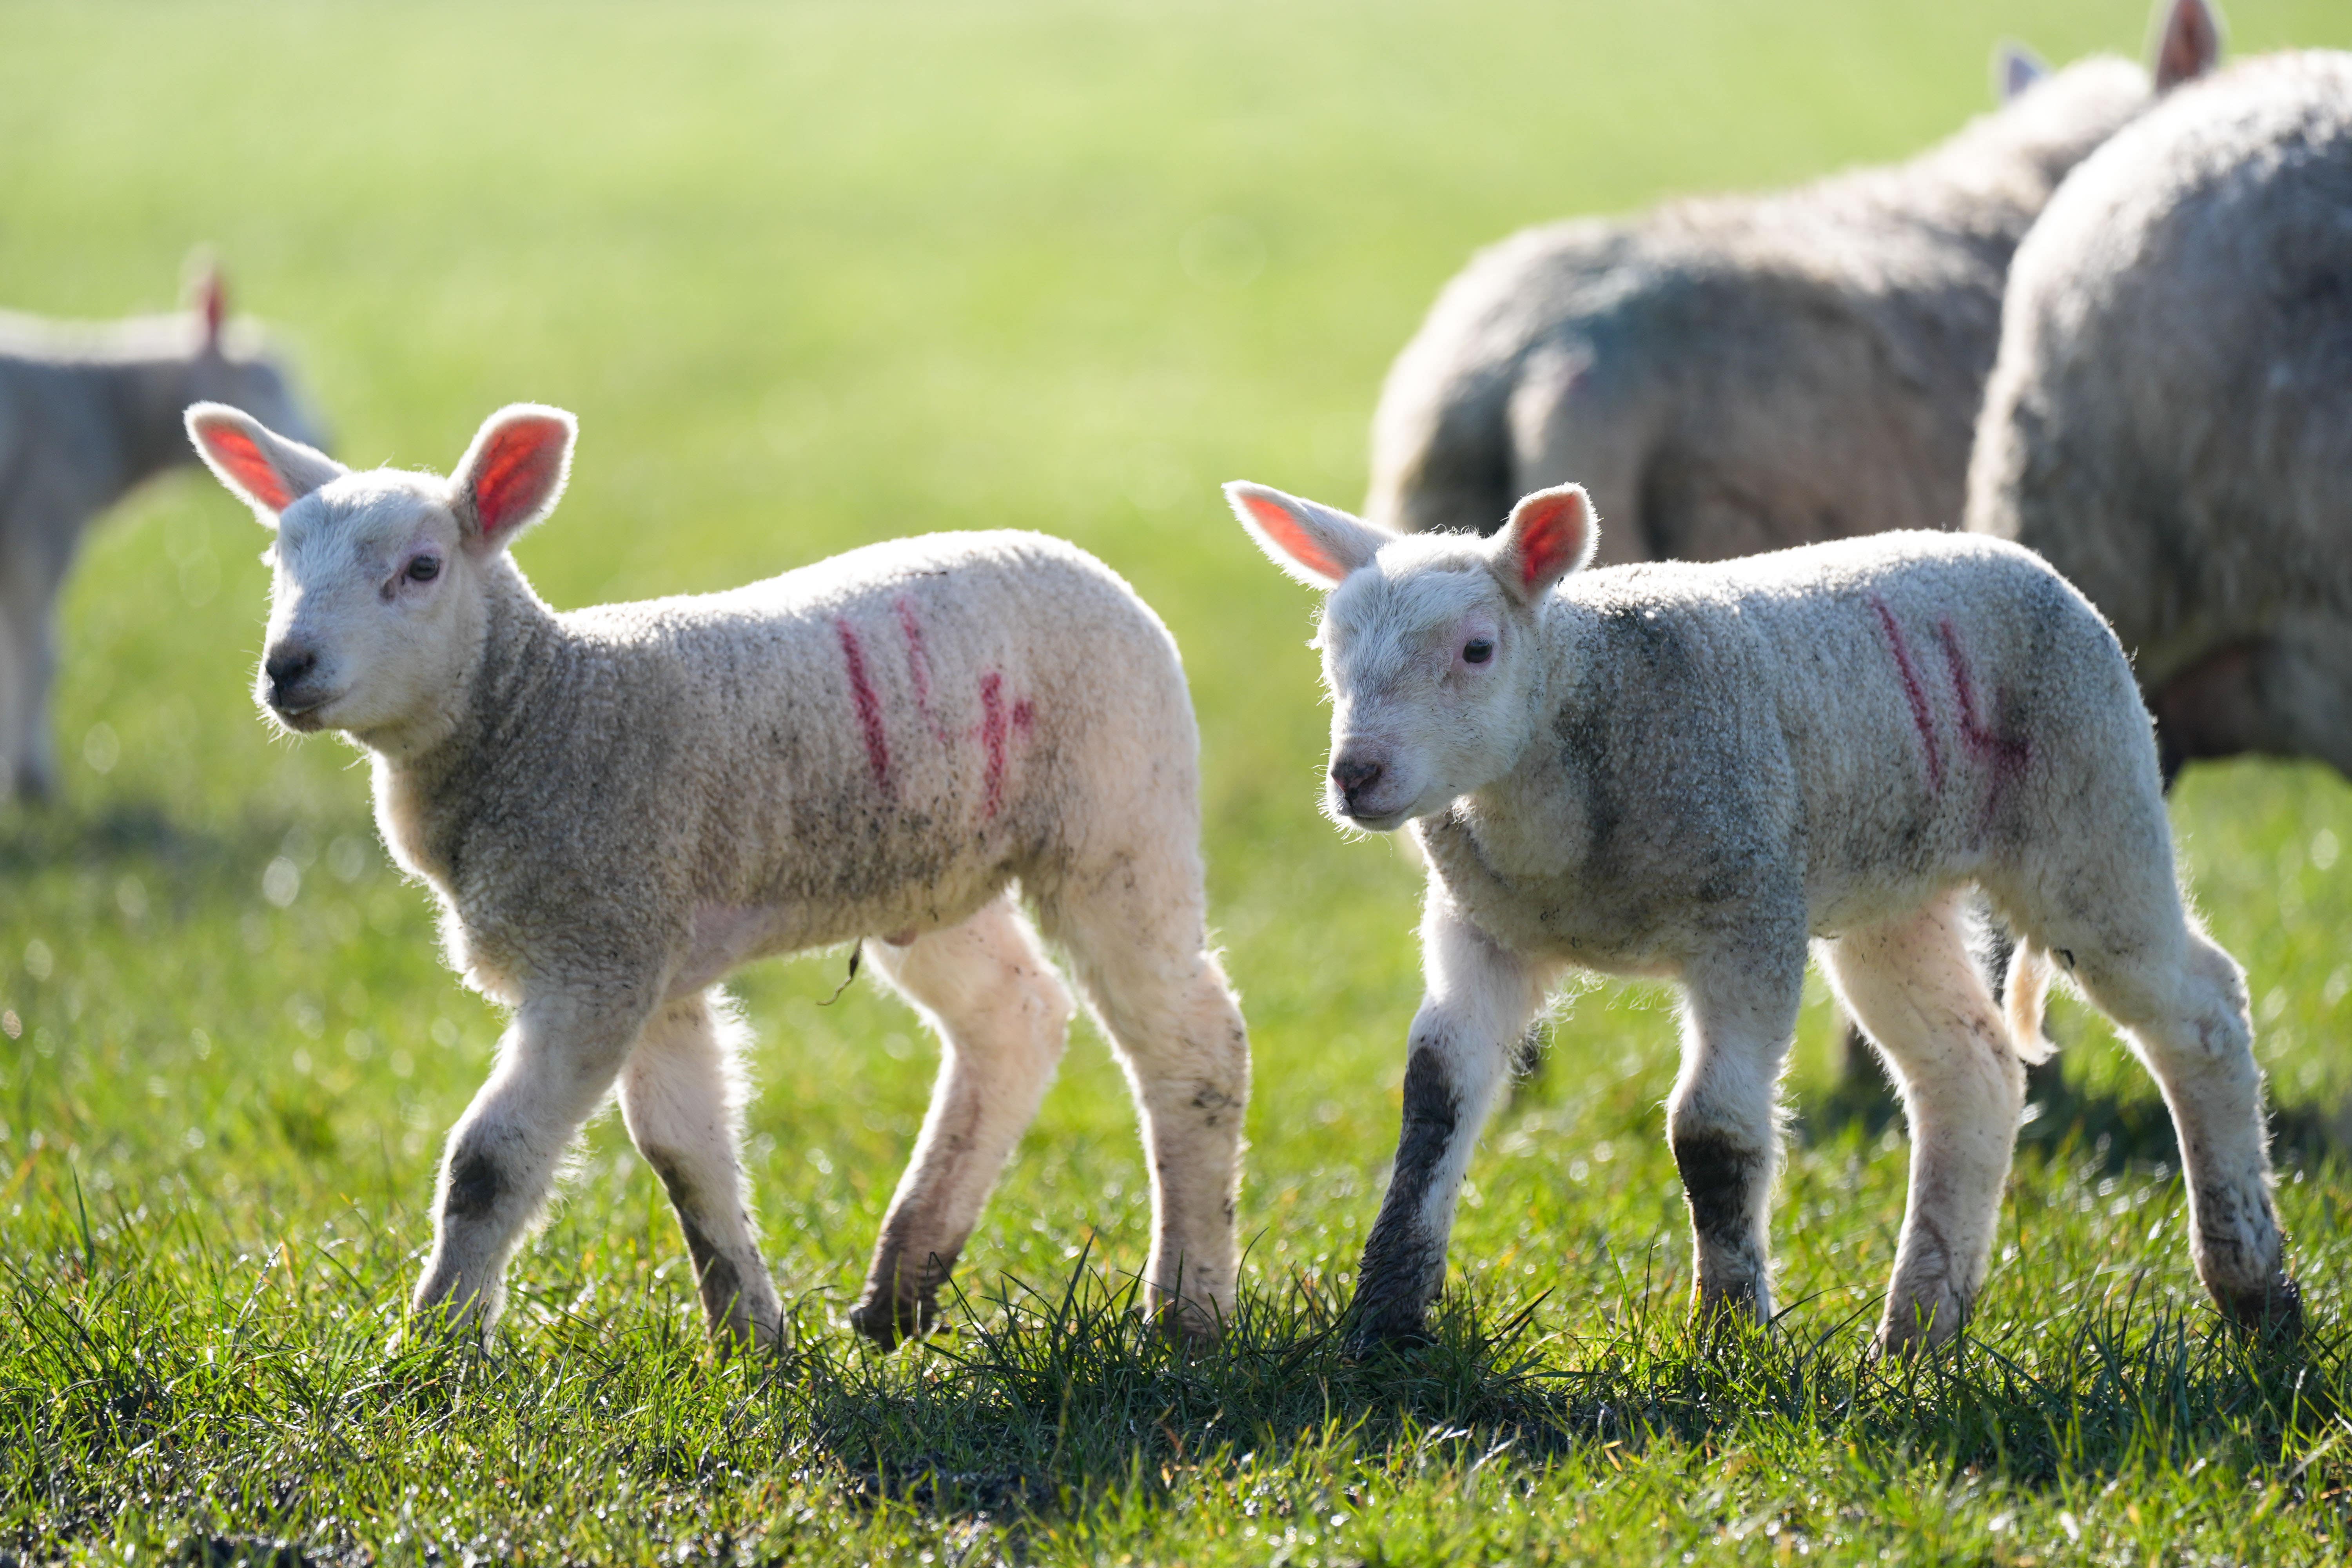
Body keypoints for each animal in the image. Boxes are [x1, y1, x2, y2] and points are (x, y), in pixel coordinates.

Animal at [0, 264, 324, 803]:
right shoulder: (42, 527)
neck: (99, 406)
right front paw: (33, 781)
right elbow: (39, 659)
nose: (327, 438)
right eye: (262, 380)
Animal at [183, 401, 1252, 1352]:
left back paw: (1187, 1309)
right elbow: (686, 1152)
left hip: (1120, 815)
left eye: (421, 568)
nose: (288, 667)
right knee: (1016, 1015)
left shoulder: (597, 947)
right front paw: (751, 1339)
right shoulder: (650, 952)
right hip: (930, 869)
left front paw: (434, 1348)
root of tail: (1081, 560)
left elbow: (489, 1162)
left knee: (1192, 1039)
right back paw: (901, 1286)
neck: (543, 704)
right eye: (279, 566)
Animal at [1225, 477, 2299, 1355]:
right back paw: (1917, 1337)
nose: (1356, 775)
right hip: (1894, 896)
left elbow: (1712, 1130)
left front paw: (1730, 1337)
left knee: (2200, 1011)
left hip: (2091, 808)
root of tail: (2011, 556)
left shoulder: (1748, 915)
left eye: (1476, 650)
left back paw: (2255, 1292)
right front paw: (1384, 1320)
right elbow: (1435, 1099)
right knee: (1971, 1070)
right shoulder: (1483, 929)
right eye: (1331, 651)